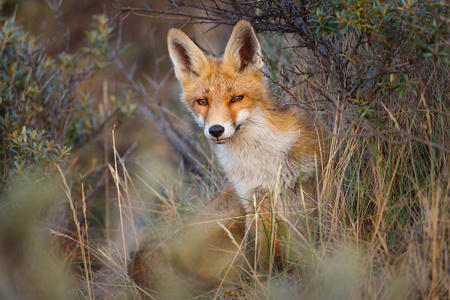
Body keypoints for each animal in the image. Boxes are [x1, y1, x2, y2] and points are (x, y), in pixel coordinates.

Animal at [128, 19, 326, 296]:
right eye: (203, 101)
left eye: (237, 98)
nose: (216, 130)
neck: (258, 162)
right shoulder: (255, 201)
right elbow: (267, 254)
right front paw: (271, 280)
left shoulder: (311, 180)